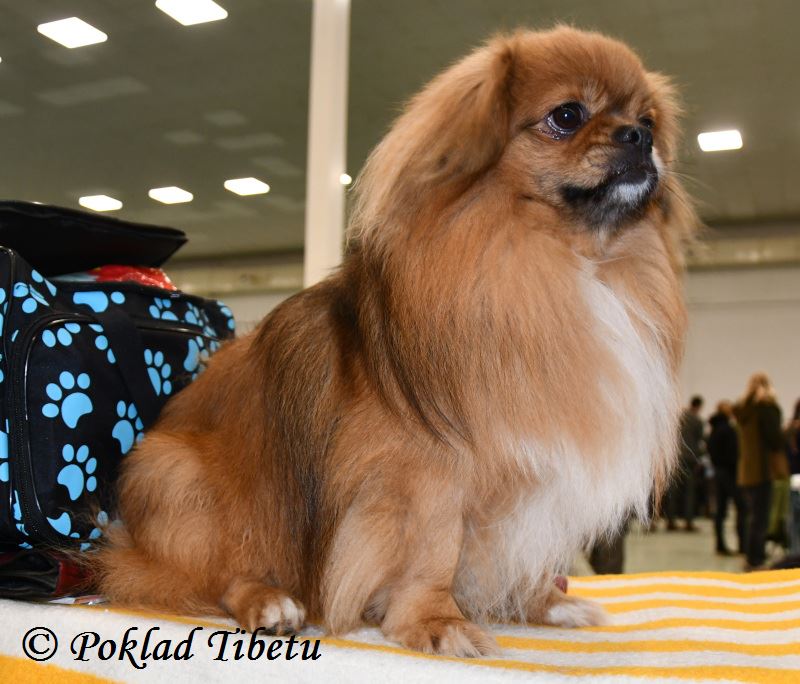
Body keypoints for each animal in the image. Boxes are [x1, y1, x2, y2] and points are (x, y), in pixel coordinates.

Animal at [95, 26, 696, 657]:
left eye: (648, 119)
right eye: (567, 115)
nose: (638, 136)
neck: (571, 263)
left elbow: (532, 553)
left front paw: (546, 604)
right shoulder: (428, 473)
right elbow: (434, 552)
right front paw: (437, 622)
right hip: (183, 481)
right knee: (210, 575)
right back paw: (270, 602)